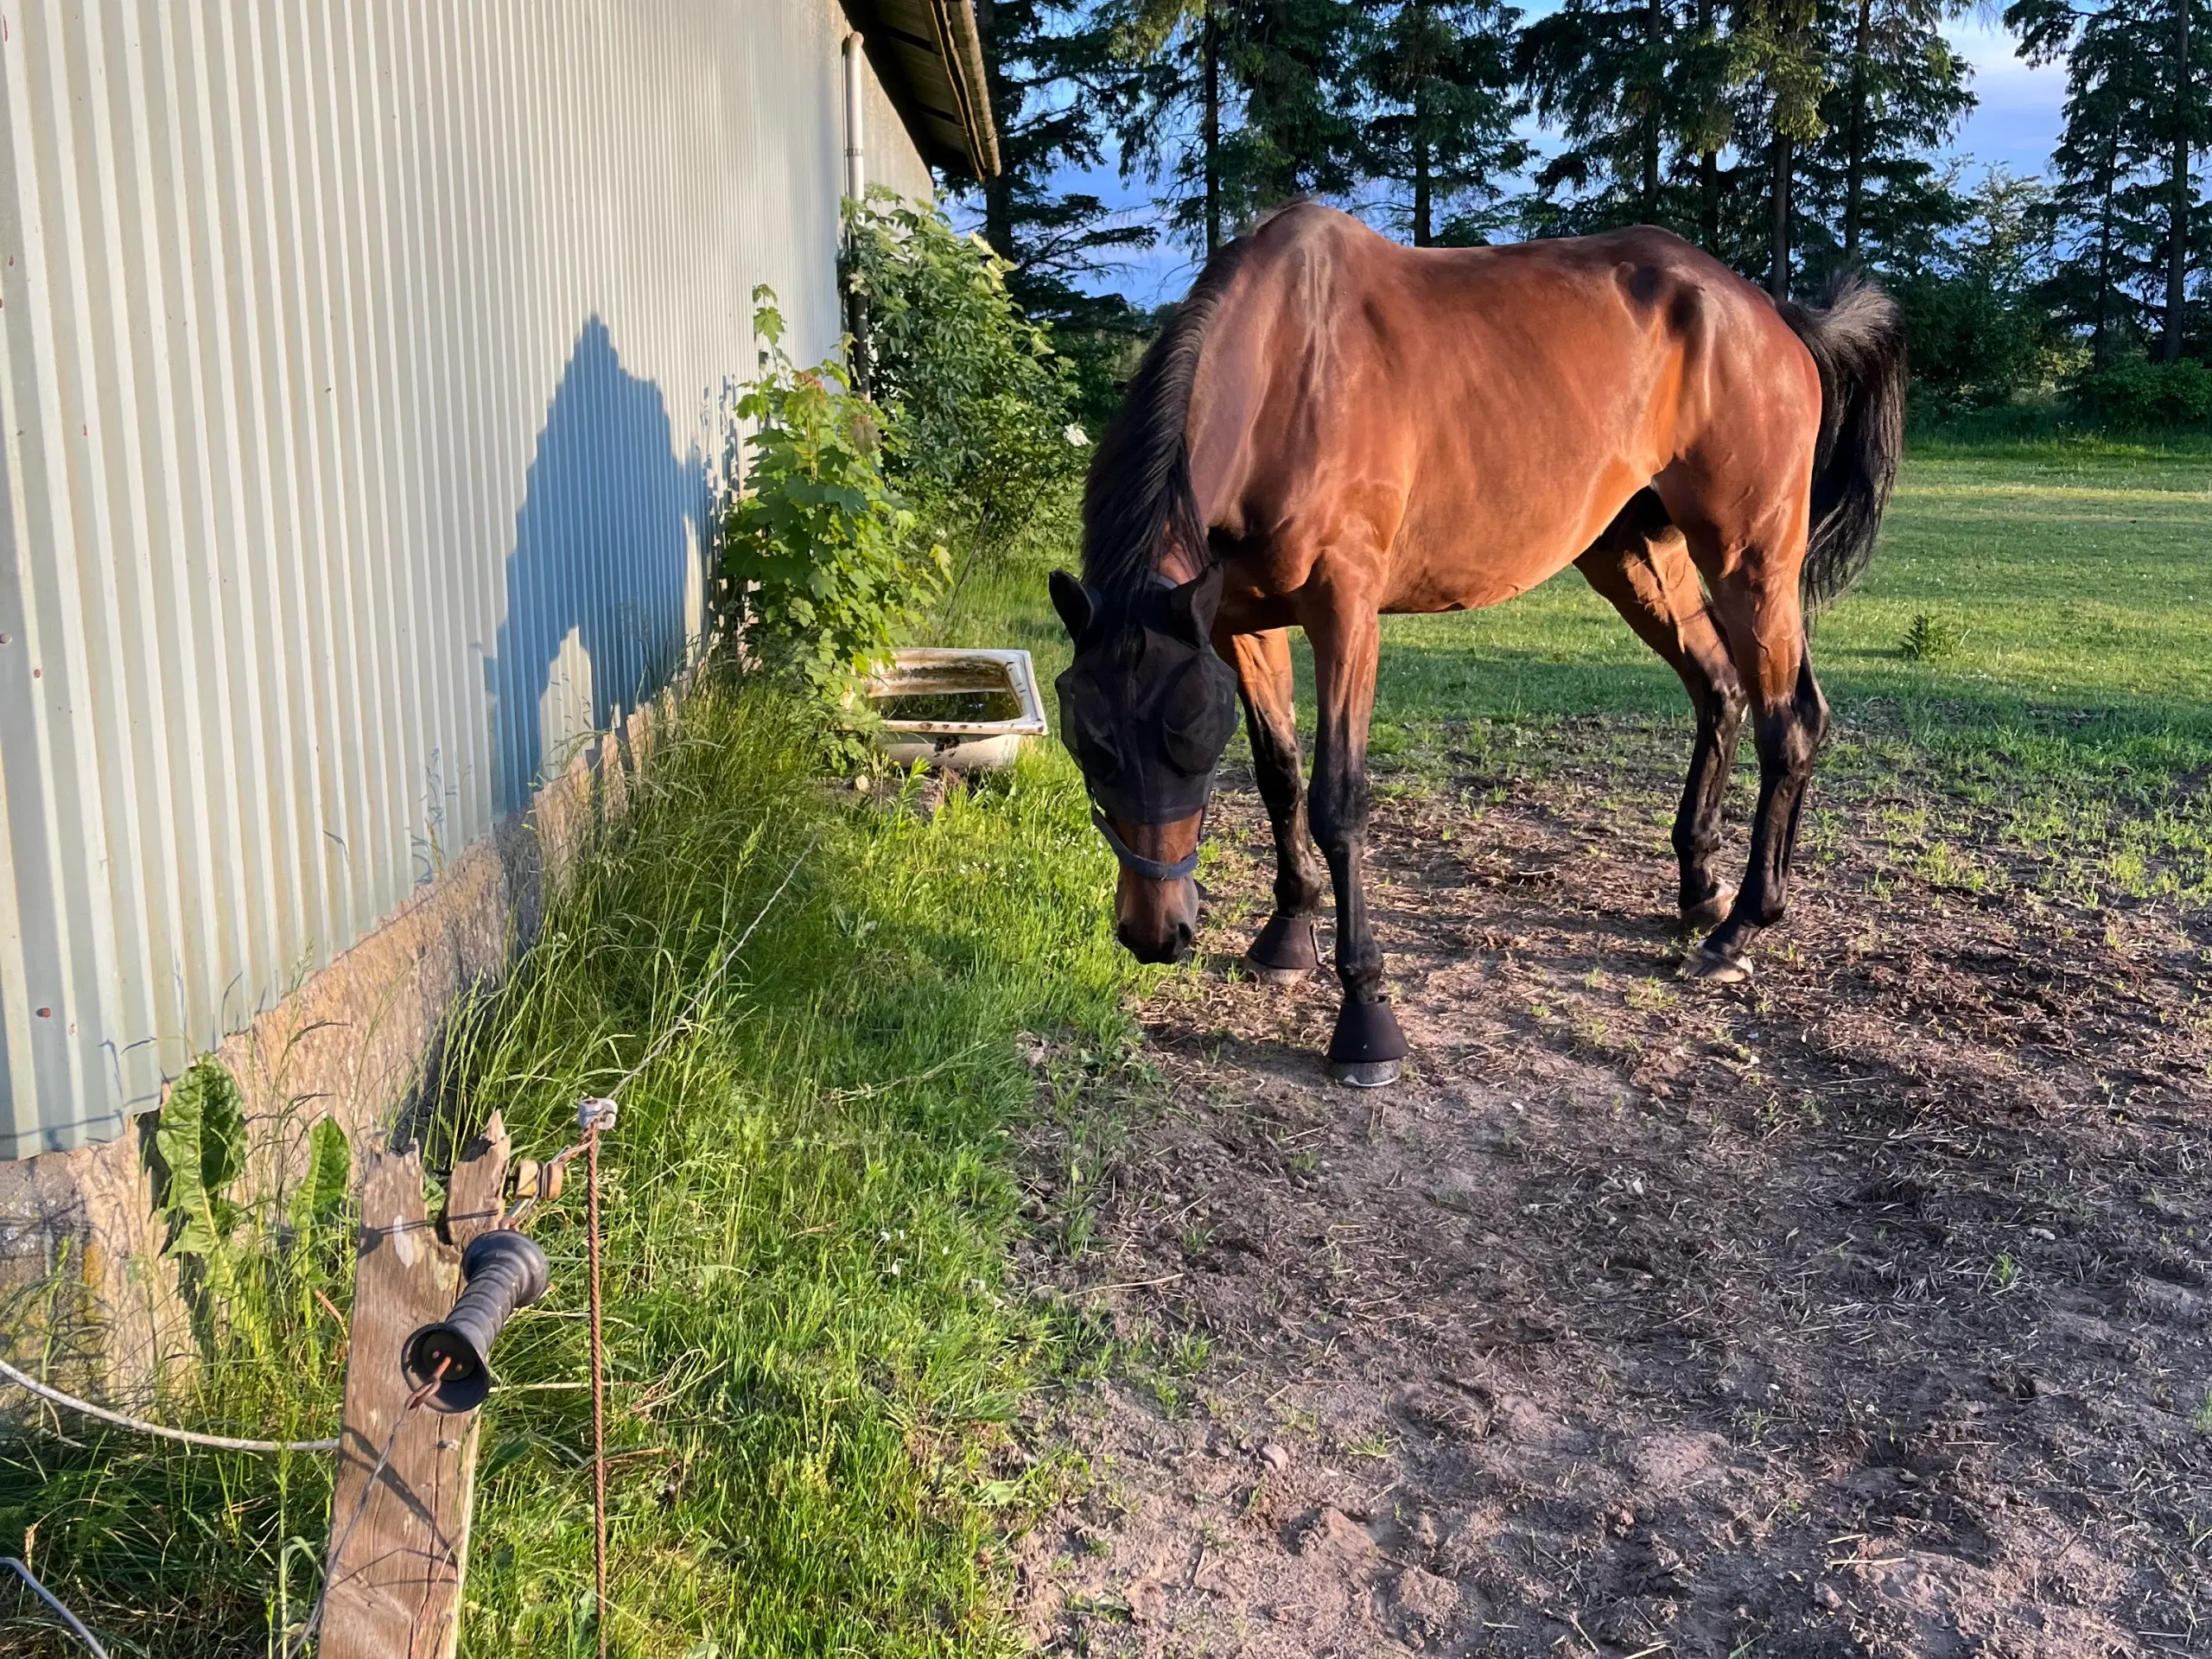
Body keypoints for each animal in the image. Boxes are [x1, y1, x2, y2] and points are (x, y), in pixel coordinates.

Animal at [1052, 200, 1902, 1084]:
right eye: (1089, 742)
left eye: (1190, 740)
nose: (1155, 934)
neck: (1288, 369)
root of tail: (1769, 312)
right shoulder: (1238, 622)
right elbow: (1280, 777)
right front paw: (1287, 935)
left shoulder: (1344, 614)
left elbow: (1336, 803)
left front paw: (1365, 1016)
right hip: (1637, 555)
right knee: (1720, 690)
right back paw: (1700, 888)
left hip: (1750, 559)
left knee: (1790, 723)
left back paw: (1740, 929)